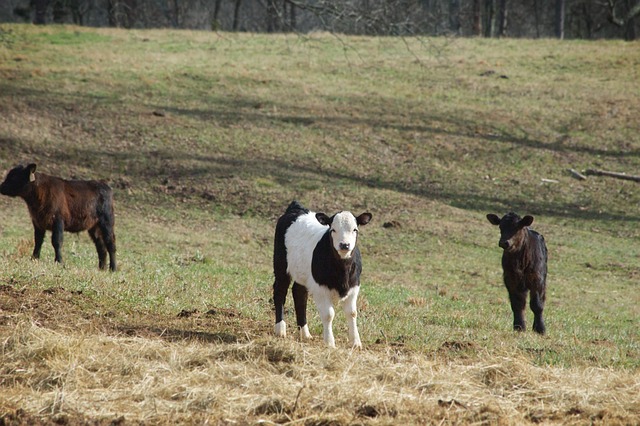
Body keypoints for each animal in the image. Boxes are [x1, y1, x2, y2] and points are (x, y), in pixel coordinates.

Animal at [272, 201, 372, 348]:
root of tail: (296, 208)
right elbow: (328, 314)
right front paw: (330, 342)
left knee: (299, 293)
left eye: (355, 230)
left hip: (303, 275)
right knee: (280, 291)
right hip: (281, 265)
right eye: (333, 230)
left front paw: (356, 342)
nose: (344, 245)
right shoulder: (320, 288)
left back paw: (305, 333)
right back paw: (280, 330)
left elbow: (352, 313)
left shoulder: (354, 286)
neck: (343, 270)